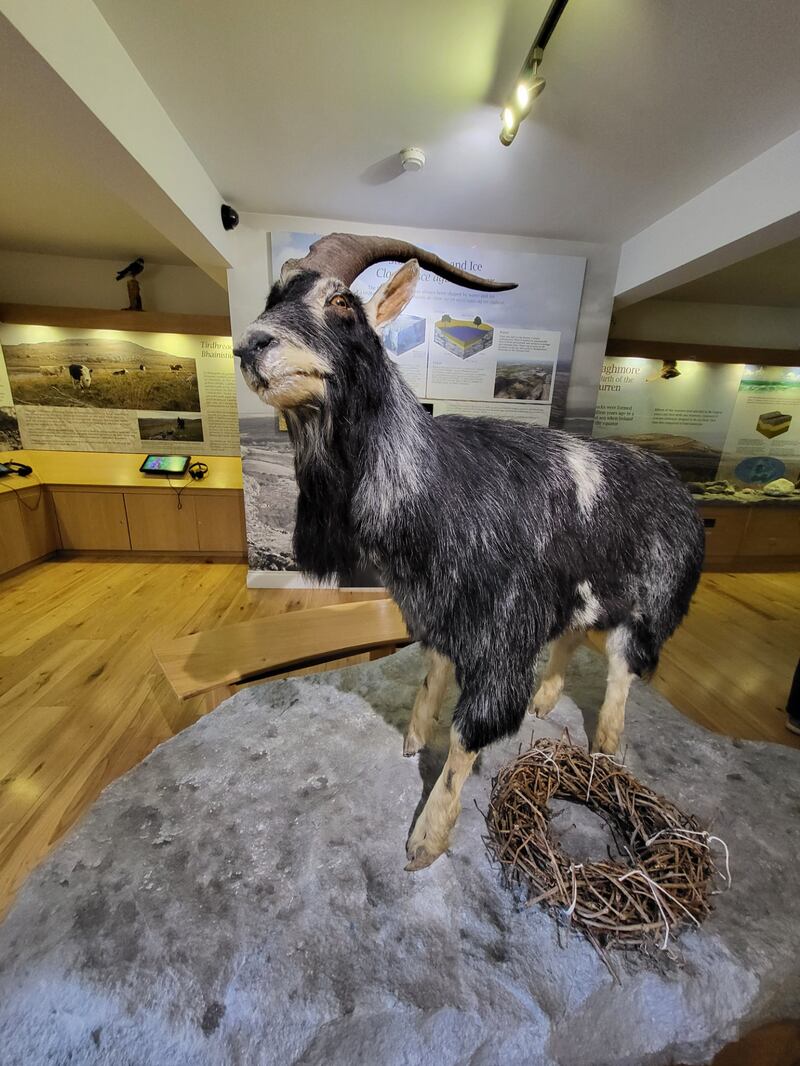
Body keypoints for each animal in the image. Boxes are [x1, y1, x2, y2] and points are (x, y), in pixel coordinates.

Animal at [235, 233, 705, 871]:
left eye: (340, 303)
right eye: (273, 298)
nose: (250, 345)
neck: (438, 484)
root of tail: (680, 487)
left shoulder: (501, 634)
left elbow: (467, 736)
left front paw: (426, 838)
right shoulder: (436, 610)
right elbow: (432, 674)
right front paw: (413, 738)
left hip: (651, 603)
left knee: (622, 666)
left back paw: (607, 744)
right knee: (573, 634)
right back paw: (546, 699)